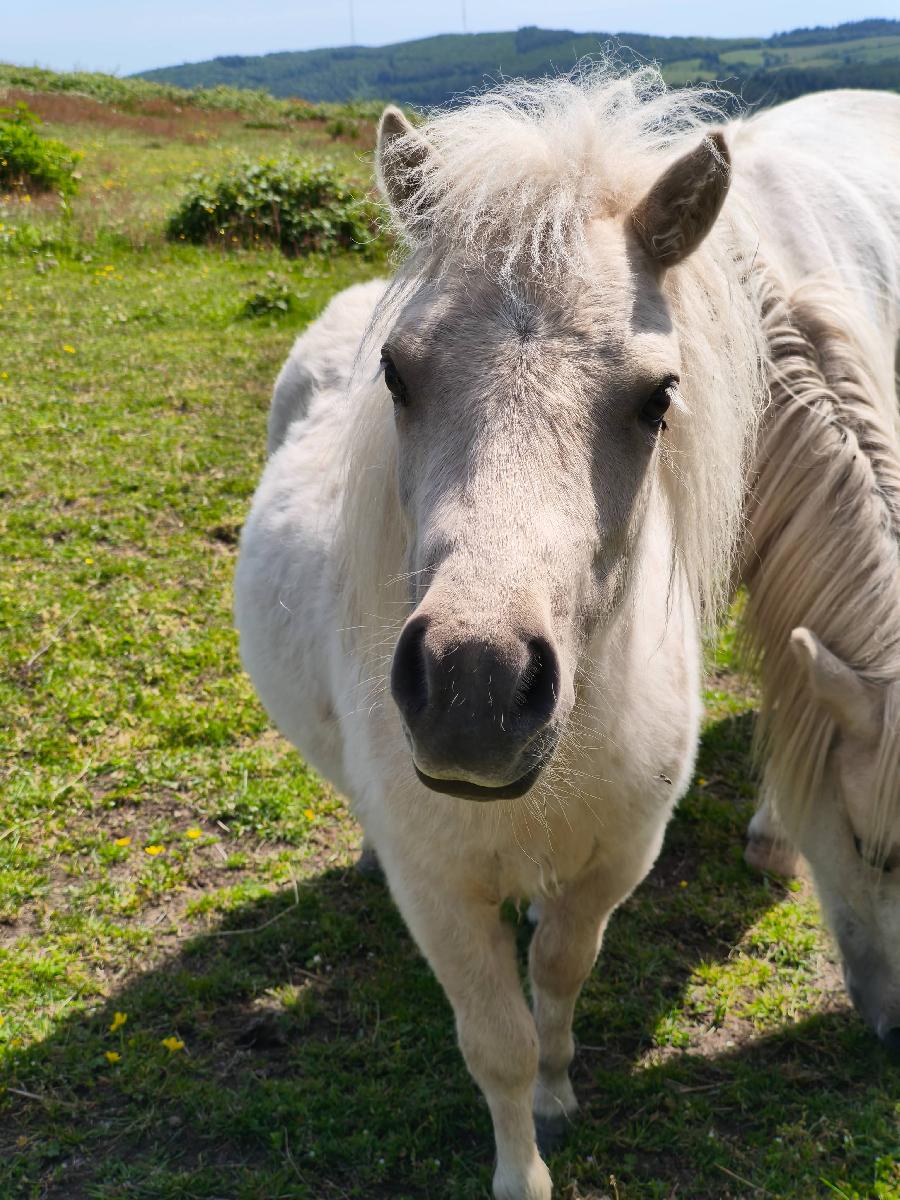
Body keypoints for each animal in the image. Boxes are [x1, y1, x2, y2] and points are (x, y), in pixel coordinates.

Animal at [235, 68, 899, 1198]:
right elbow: (492, 1038)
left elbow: (558, 973)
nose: (475, 690)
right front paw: (523, 1165)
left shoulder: (613, 861)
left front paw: (556, 1092)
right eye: (396, 375)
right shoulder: (441, 894)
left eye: (660, 395)